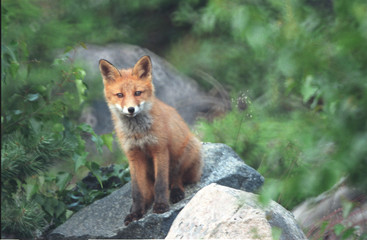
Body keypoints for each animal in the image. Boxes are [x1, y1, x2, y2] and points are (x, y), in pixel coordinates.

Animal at [99, 55, 203, 225]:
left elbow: (160, 184)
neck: (138, 134)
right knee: (147, 191)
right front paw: (136, 212)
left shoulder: (159, 149)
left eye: (137, 93)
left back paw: (176, 192)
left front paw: (161, 206)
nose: (131, 109)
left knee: (177, 177)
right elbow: (137, 191)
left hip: (187, 151)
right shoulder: (133, 156)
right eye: (120, 95)